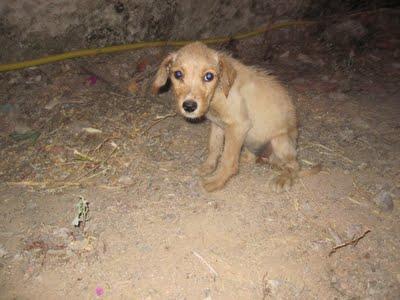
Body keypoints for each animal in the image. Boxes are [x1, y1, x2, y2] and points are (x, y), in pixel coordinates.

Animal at [153, 42, 316, 192]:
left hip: (280, 141)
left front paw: (217, 181)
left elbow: (227, 159)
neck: (219, 90)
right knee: (253, 157)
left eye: (209, 76)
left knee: (294, 166)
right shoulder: (217, 125)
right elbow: (214, 148)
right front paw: (207, 168)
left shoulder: (238, 126)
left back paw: (283, 179)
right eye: (178, 74)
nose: (189, 107)